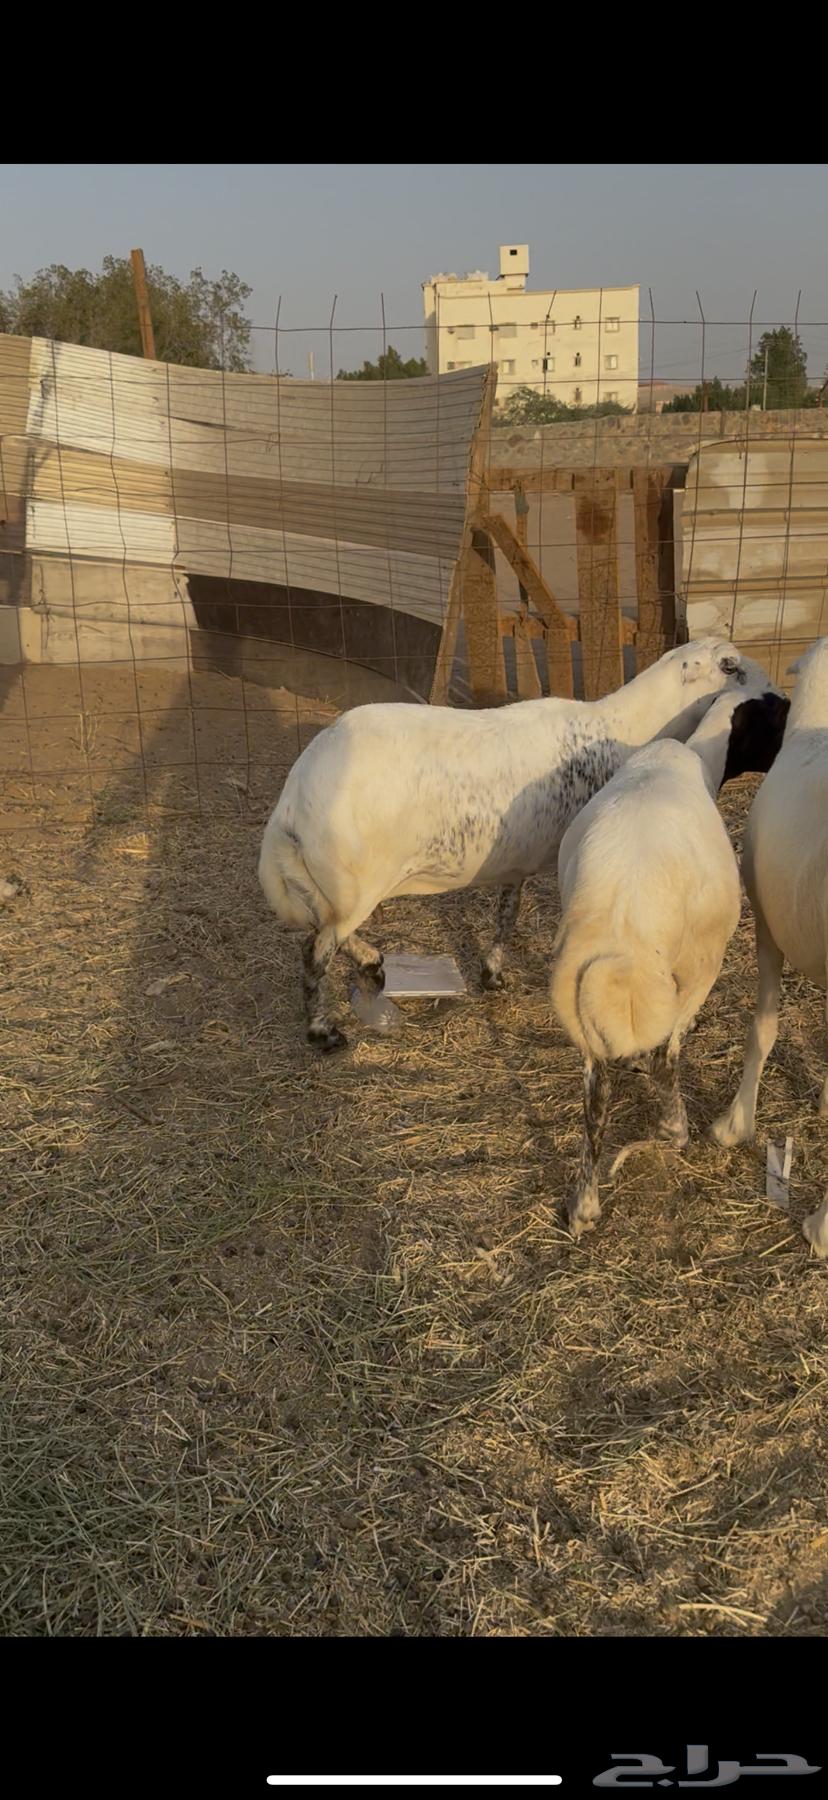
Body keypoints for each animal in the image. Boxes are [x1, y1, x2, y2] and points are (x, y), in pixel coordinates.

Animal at [259, 637, 751, 1050]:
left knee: (327, 931)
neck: (624, 728)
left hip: (334, 887)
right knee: (315, 950)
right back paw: (322, 1031)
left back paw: (371, 963)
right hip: (355, 880)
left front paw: (492, 973)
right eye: (730, 666)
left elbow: (507, 915)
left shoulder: (516, 860)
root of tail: (291, 803)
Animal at [550, 663, 789, 1239]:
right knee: (665, 1057)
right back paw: (671, 1130)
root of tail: (621, 928)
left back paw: (584, 1206)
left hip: (583, 1011)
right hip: (700, 964)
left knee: (596, 1099)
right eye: (774, 713)